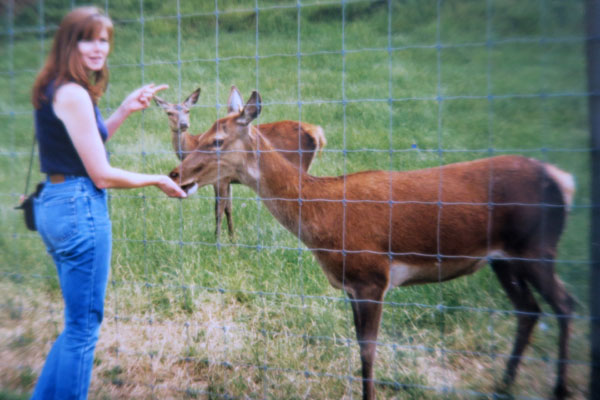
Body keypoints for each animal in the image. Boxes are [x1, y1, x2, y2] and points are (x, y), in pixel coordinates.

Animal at [152, 86, 326, 239]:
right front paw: (232, 239)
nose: (183, 124)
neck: (191, 146)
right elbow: (229, 208)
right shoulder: (227, 180)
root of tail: (317, 132)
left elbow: (219, 209)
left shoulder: (220, 180)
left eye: (187, 110)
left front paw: (217, 240)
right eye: (169, 112)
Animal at [169, 90, 576, 400]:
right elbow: (360, 346)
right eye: (199, 135)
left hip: (536, 247)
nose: (175, 173)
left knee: (565, 304)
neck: (325, 220)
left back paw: (558, 389)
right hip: (504, 258)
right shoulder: (352, 284)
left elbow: (368, 351)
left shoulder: (372, 276)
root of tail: (564, 180)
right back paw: (503, 386)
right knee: (529, 311)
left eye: (216, 141)